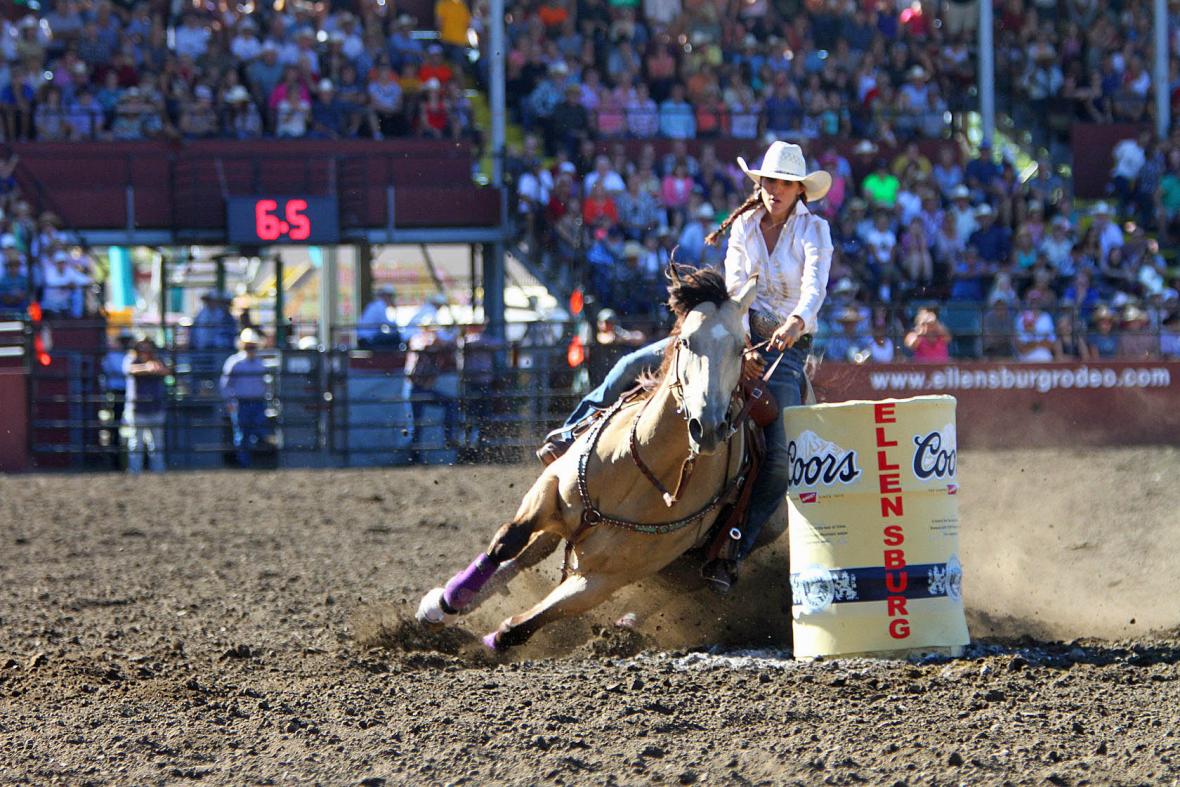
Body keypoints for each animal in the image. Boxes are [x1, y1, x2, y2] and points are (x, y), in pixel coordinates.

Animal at [415, 267, 759, 651]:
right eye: (686, 341)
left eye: (741, 348)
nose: (708, 426)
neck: (644, 469)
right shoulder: (550, 487)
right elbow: (508, 541)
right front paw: (448, 602)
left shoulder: (605, 577)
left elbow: (518, 628)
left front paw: (492, 641)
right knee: (529, 553)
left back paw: (626, 625)